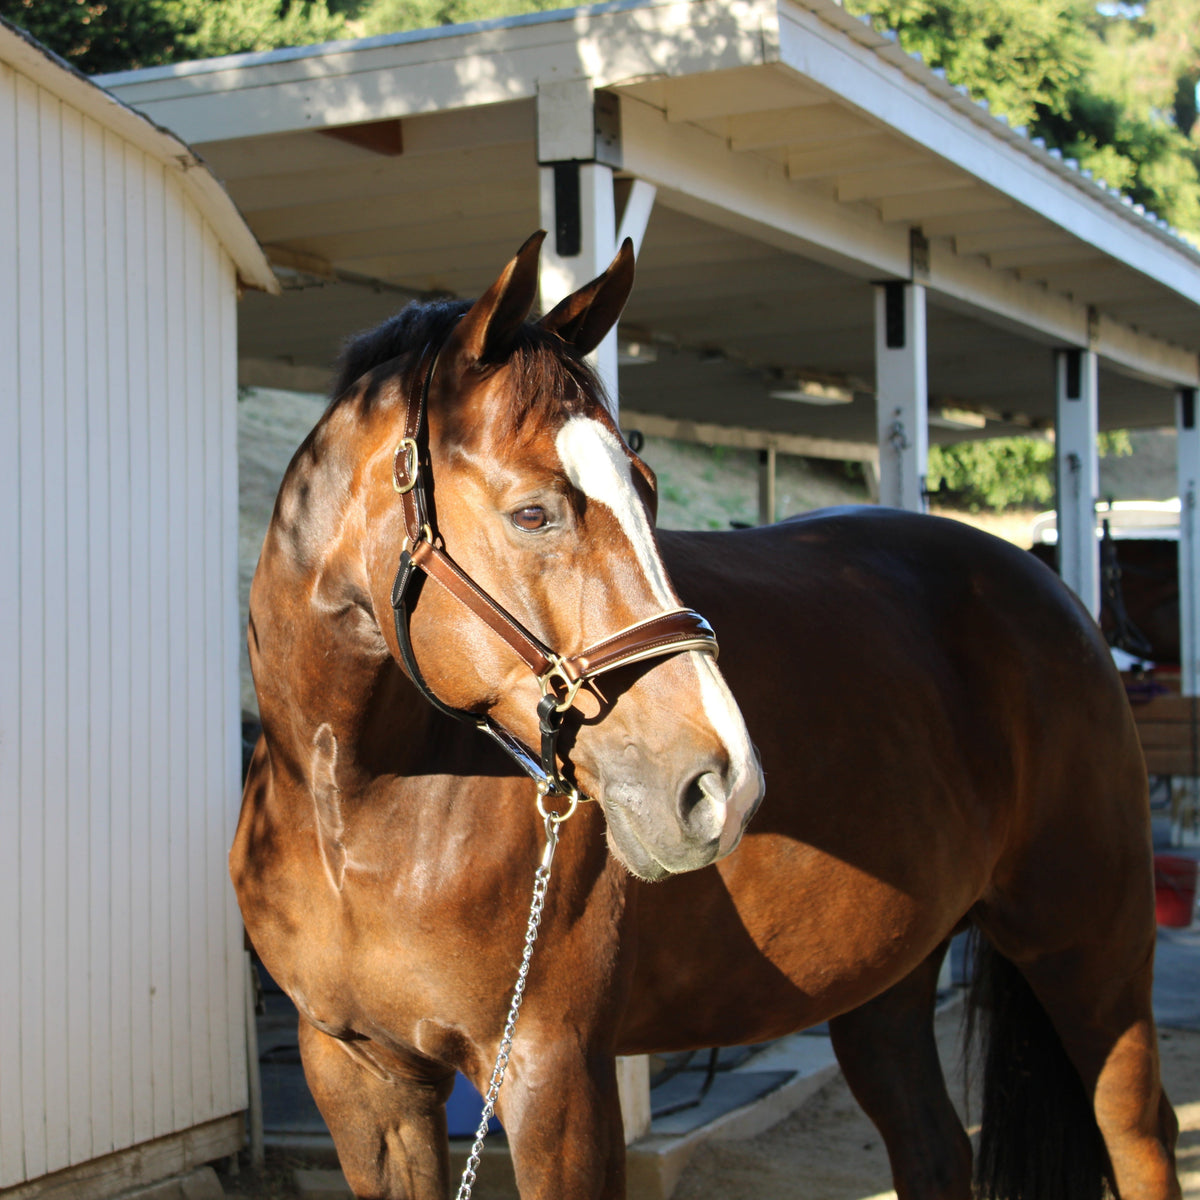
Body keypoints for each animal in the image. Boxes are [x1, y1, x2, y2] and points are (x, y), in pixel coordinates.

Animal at [236, 229, 1180, 1195]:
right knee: (933, 1147)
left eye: (647, 489)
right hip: (887, 983)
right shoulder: (361, 1078)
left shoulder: (553, 1075)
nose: (723, 785)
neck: (357, 804)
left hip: (1089, 947)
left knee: (1137, 1133)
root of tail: (1046, 587)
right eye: (533, 512)